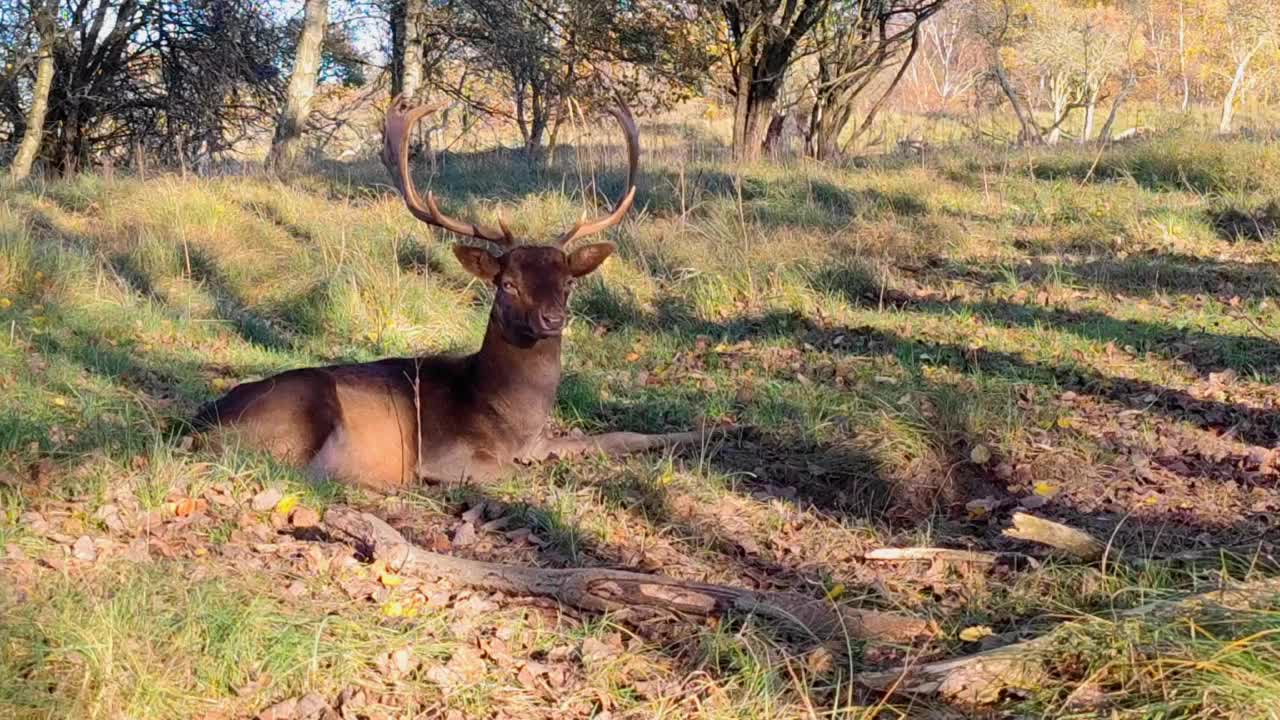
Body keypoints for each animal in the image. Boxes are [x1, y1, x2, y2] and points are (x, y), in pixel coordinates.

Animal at [194, 95, 706, 486]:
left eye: (568, 284)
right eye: (507, 284)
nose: (552, 319)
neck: (513, 418)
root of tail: (196, 427)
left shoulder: (542, 440)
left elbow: (620, 436)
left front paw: (701, 434)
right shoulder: (446, 453)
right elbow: (520, 471)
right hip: (306, 407)